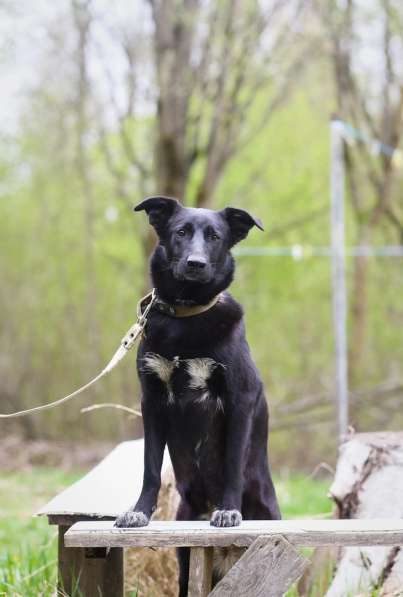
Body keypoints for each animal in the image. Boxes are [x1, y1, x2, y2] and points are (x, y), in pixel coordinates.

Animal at [115, 196, 280, 592]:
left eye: (215, 236)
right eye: (180, 232)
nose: (195, 264)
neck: (185, 315)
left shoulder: (239, 400)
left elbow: (233, 460)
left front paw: (229, 510)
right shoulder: (152, 403)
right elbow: (150, 467)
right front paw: (139, 512)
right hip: (186, 558)